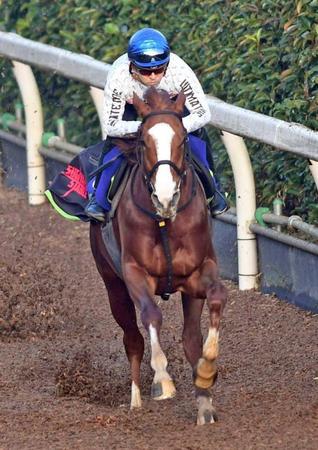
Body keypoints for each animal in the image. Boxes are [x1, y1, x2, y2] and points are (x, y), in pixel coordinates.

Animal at [89, 87, 227, 426]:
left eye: (183, 139)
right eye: (142, 141)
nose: (165, 197)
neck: (165, 221)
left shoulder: (198, 272)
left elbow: (217, 297)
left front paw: (207, 372)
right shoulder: (134, 273)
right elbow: (151, 315)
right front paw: (162, 380)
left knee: (190, 338)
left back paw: (204, 404)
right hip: (113, 285)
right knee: (132, 340)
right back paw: (136, 399)